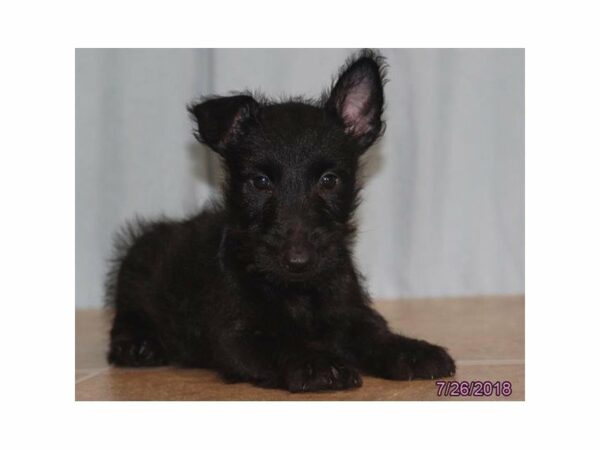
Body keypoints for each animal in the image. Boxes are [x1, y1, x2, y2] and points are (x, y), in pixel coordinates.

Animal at [108, 51, 454, 392]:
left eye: (329, 180)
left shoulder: (351, 313)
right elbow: (280, 343)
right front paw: (318, 364)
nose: (297, 260)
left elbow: (375, 335)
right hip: (135, 279)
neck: (297, 292)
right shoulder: (236, 334)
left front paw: (411, 351)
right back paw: (137, 345)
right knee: (127, 315)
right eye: (260, 181)